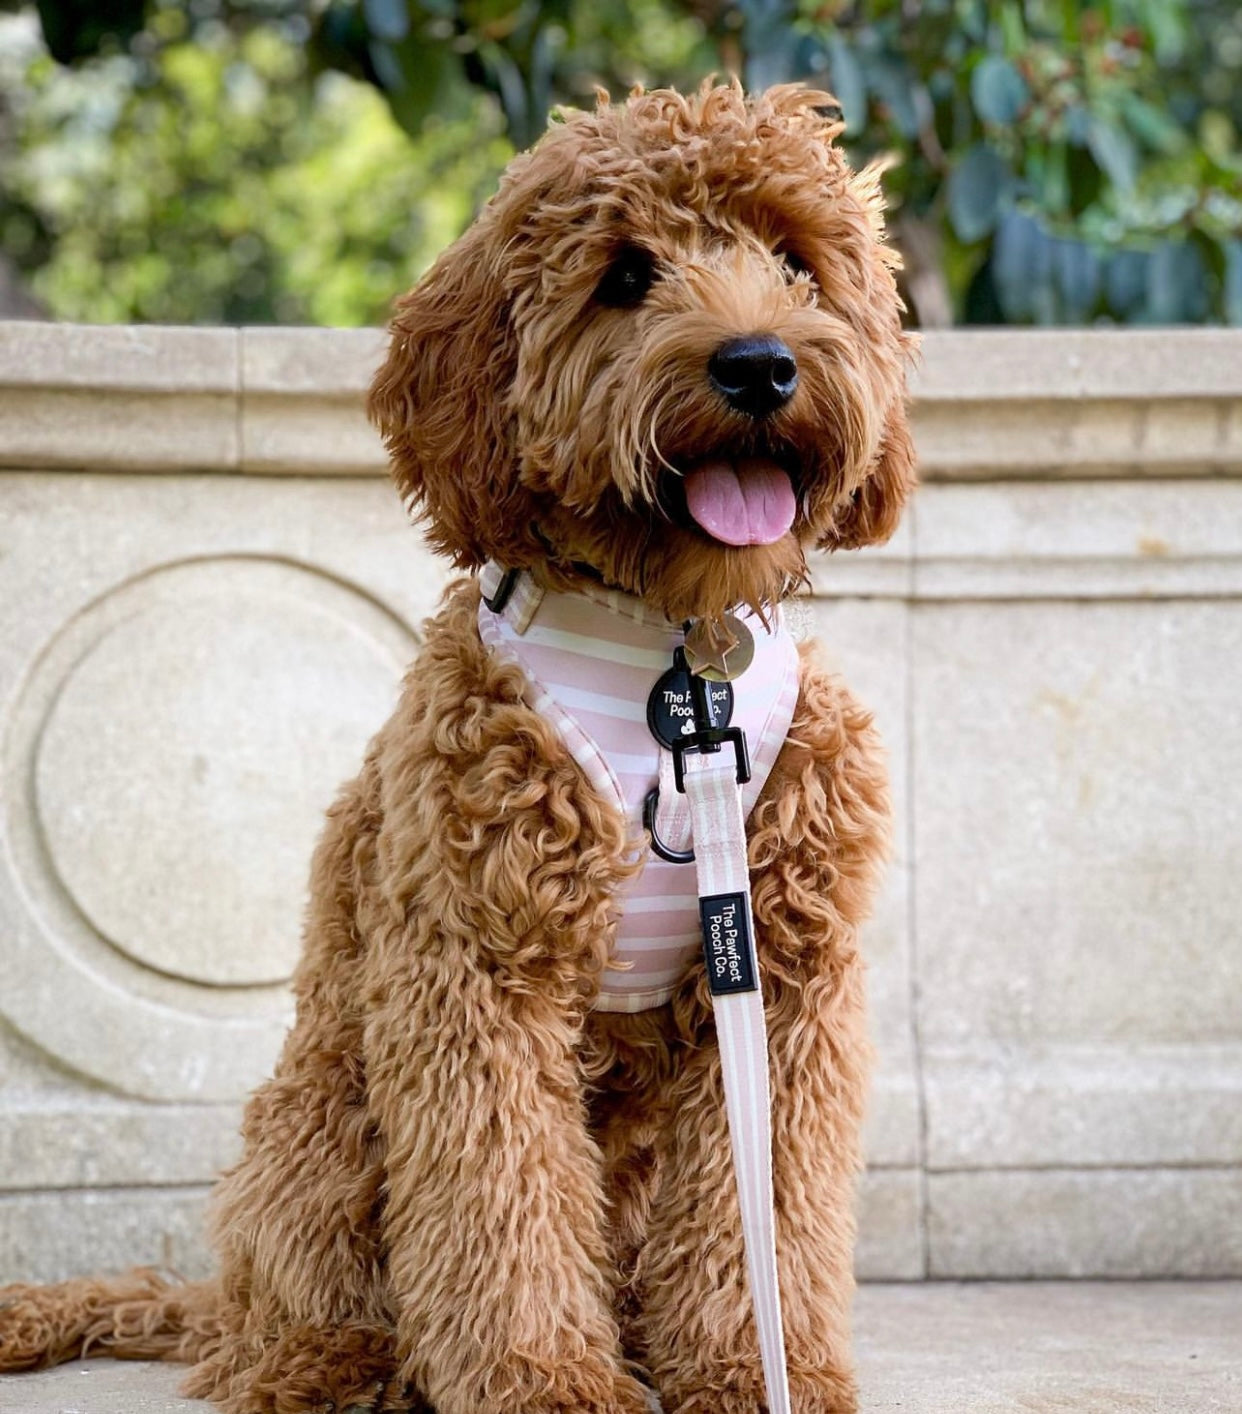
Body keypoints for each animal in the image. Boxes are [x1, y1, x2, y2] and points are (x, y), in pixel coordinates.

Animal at [0, 82, 916, 1414]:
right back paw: (342, 1365)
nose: (759, 363)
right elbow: (499, 1191)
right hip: (325, 1116)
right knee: (287, 1319)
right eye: (626, 275)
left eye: (797, 262)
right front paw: (543, 1379)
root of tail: (219, 1300)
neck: (671, 652)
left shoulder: (786, 973)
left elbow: (763, 1207)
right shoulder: (475, 964)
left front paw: (755, 1370)